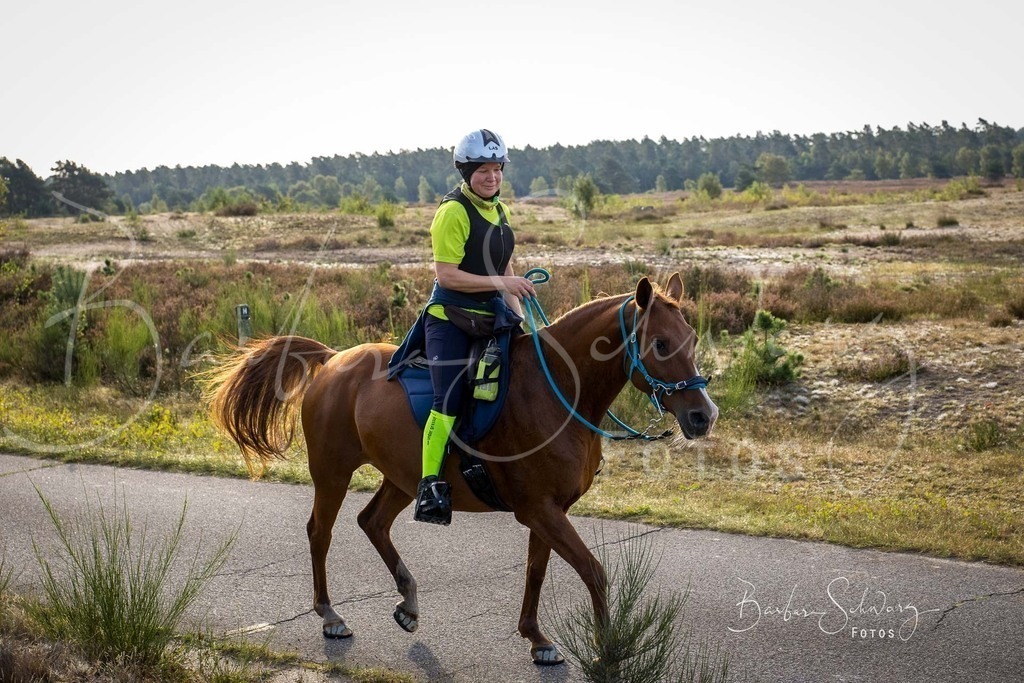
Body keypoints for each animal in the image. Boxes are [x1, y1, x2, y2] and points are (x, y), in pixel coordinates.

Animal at [206, 272, 718, 666]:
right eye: (660, 343)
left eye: (692, 340)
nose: (703, 416)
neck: (556, 392)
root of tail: (333, 360)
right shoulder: (540, 510)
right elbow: (593, 571)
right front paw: (607, 649)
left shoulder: (548, 511)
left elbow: (536, 570)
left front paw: (537, 639)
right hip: (332, 473)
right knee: (320, 532)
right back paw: (330, 615)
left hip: (403, 479)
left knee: (372, 522)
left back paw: (409, 603)